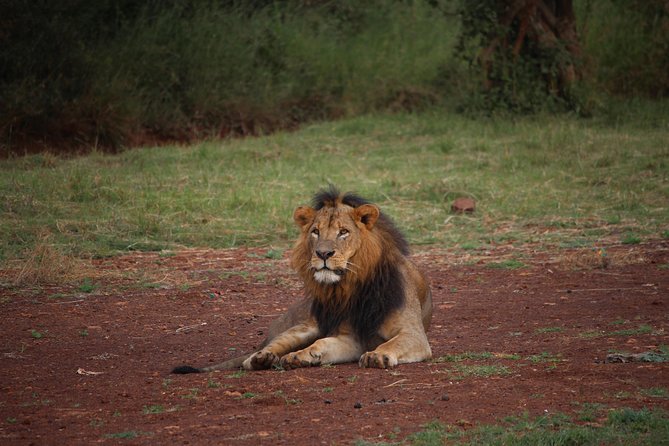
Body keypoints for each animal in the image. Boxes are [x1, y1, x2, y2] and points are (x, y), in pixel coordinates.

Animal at [172, 185, 430, 372]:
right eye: (315, 232)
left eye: (343, 232)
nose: (323, 253)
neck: (357, 286)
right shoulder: (350, 337)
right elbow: (323, 343)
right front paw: (300, 355)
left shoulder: (413, 334)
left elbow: (392, 342)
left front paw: (378, 354)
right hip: (302, 327)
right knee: (260, 354)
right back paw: (267, 358)